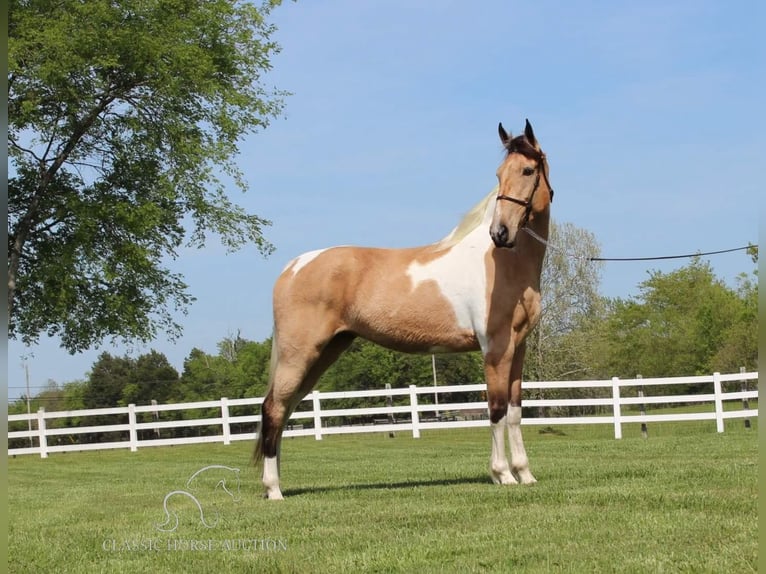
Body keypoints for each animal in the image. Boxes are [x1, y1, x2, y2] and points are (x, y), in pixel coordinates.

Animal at [255, 120, 556, 500]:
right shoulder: (496, 348)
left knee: (285, 411)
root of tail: (293, 266)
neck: (504, 263)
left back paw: (276, 485)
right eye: (499, 174)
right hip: (300, 354)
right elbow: (497, 409)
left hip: (324, 353)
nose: (500, 232)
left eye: (527, 170)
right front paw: (502, 474)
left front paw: (525, 474)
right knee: (273, 409)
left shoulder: (518, 347)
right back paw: (274, 489)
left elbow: (515, 412)